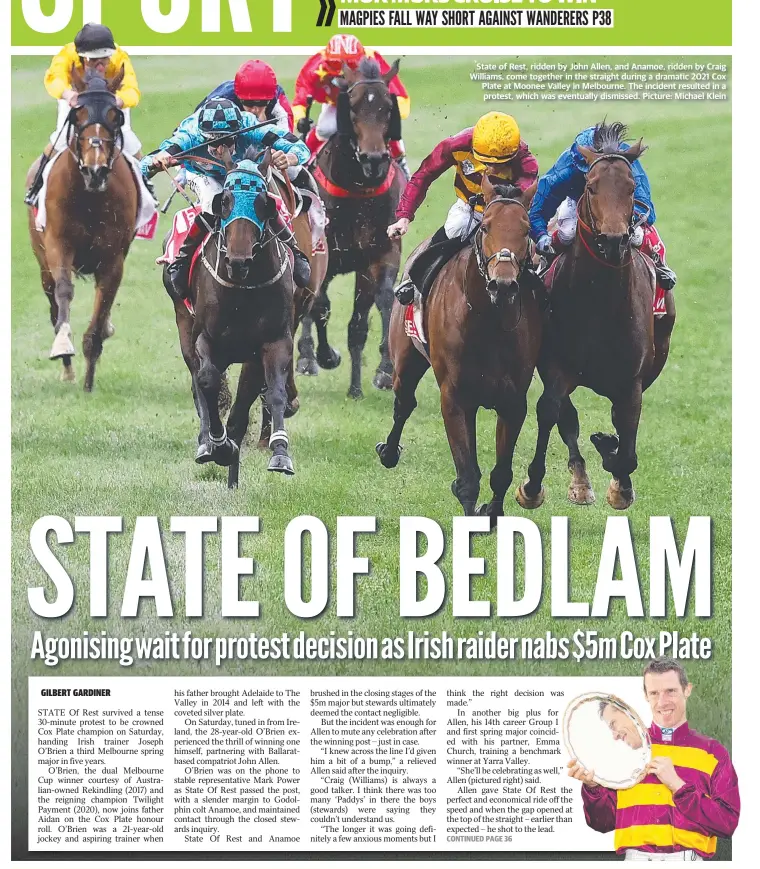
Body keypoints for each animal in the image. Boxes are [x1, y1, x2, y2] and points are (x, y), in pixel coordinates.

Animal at [26, 66, 139, 392]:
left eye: (115, 116)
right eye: (79, 114)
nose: (95, 169)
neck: (89, 197)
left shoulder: (113, 259)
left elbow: (100, 315)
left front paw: (89, 382)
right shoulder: (58, 245)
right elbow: (64, 291)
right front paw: (64, 345)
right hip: (41, 261)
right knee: (53, 300)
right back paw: (66, 368)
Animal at [168, 150, 296, 488]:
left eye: (264, 202)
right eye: (224, 201)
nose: (238, 261)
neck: (243, 289)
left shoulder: (275, 341)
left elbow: (274, 392)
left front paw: (280, 453)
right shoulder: (206, 339)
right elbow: (208, 381)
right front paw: (219, 444)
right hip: (184, 325)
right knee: (199, 382)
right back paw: (207, 442)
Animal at [294, 57, 406, 400]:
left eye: (387, 108)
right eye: (353, 107)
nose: (374, 159)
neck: (357, 190)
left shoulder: (379, 254)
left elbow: (379, 304)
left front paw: (382, 372)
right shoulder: (323, 255)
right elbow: (320, 306)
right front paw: (325, 355)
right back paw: (307, 356)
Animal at [378, 173, 544, 520]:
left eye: (526, 229)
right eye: (486, 227)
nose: (503, 284)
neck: (487, 321)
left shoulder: (512, 400)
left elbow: (501, 472)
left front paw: (491, 511)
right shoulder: (454, 397)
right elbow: (468, 477)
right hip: (406, 358)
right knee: (404, 402)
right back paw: (388, 451)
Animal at [516, 124, 676, 516]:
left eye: (631, 187)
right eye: (590, 186)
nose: (614, 239)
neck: (600, 301)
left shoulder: (633, 379)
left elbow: (627, 440)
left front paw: (619, 480)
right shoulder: (556, 365)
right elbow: (551, 412)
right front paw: (532, 486)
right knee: (567, 418)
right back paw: (580, 481)